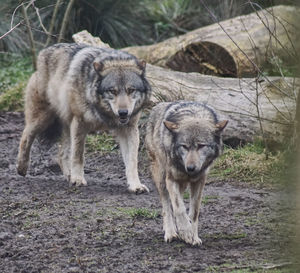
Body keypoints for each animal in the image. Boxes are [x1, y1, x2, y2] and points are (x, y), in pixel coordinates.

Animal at [17, 43, 151, 191]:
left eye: (131, 90)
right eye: (112, 91)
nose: (123, 112)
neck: (104, 113)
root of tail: (44, 51)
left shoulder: (129, 129)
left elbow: (132, 161)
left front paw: (135, 185)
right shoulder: (80, 123)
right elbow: (78, 155)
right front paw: (78, 179)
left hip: (67, 125)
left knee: (61, 154)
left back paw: (69, 175)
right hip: (43, 119)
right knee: (26, 136)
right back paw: (21, 168)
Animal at [145, 101, 227, 243]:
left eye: (201, 146)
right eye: (184, 146)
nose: (191, 168)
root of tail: (156, 107)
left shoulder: (199, 182)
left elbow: (194, 212)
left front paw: (194, 236)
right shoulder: (171, 180)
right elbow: (179, 208)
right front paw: (186, 232)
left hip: (181, 184)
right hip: (161, 178)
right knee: (167, 206)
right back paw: (170, 232)